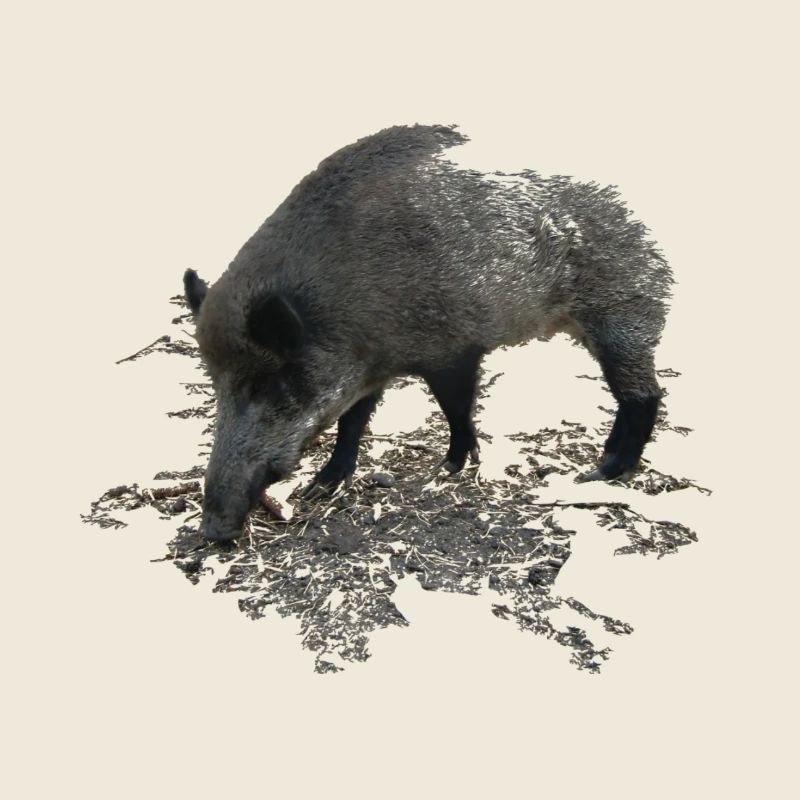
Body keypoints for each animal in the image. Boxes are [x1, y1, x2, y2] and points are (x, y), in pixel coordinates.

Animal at [183, 123, 672, 542]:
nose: (212, 530)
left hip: (623, 310)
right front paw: (320, 488)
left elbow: (454, 408)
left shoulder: (452, 349)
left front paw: (449, 467)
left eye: (267, 383)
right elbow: (352, 421)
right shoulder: (368, 370)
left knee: (645, 396)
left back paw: (601, 472)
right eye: (215, 382)